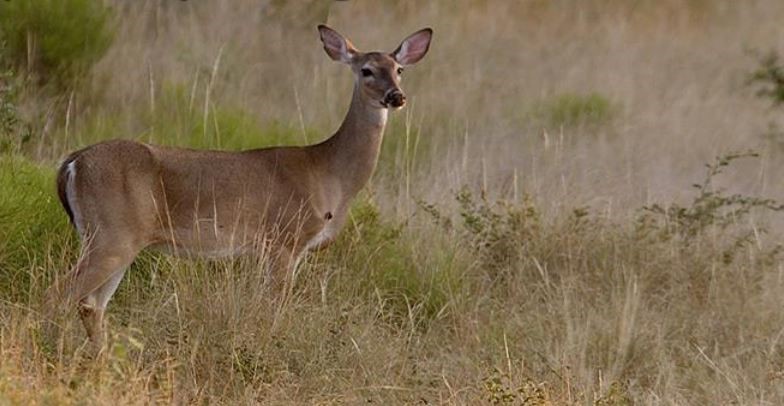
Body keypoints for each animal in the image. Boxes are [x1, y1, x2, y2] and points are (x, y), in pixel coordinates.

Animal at [53, 26, 434, 346]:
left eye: (399, 69)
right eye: (366, 70)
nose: (396, 96)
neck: (330, 175)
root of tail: (72, 163)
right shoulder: (284, 240)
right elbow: (274, 310)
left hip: (115, 239)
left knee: (91, 306)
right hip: (111, 234)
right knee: (59, 294)